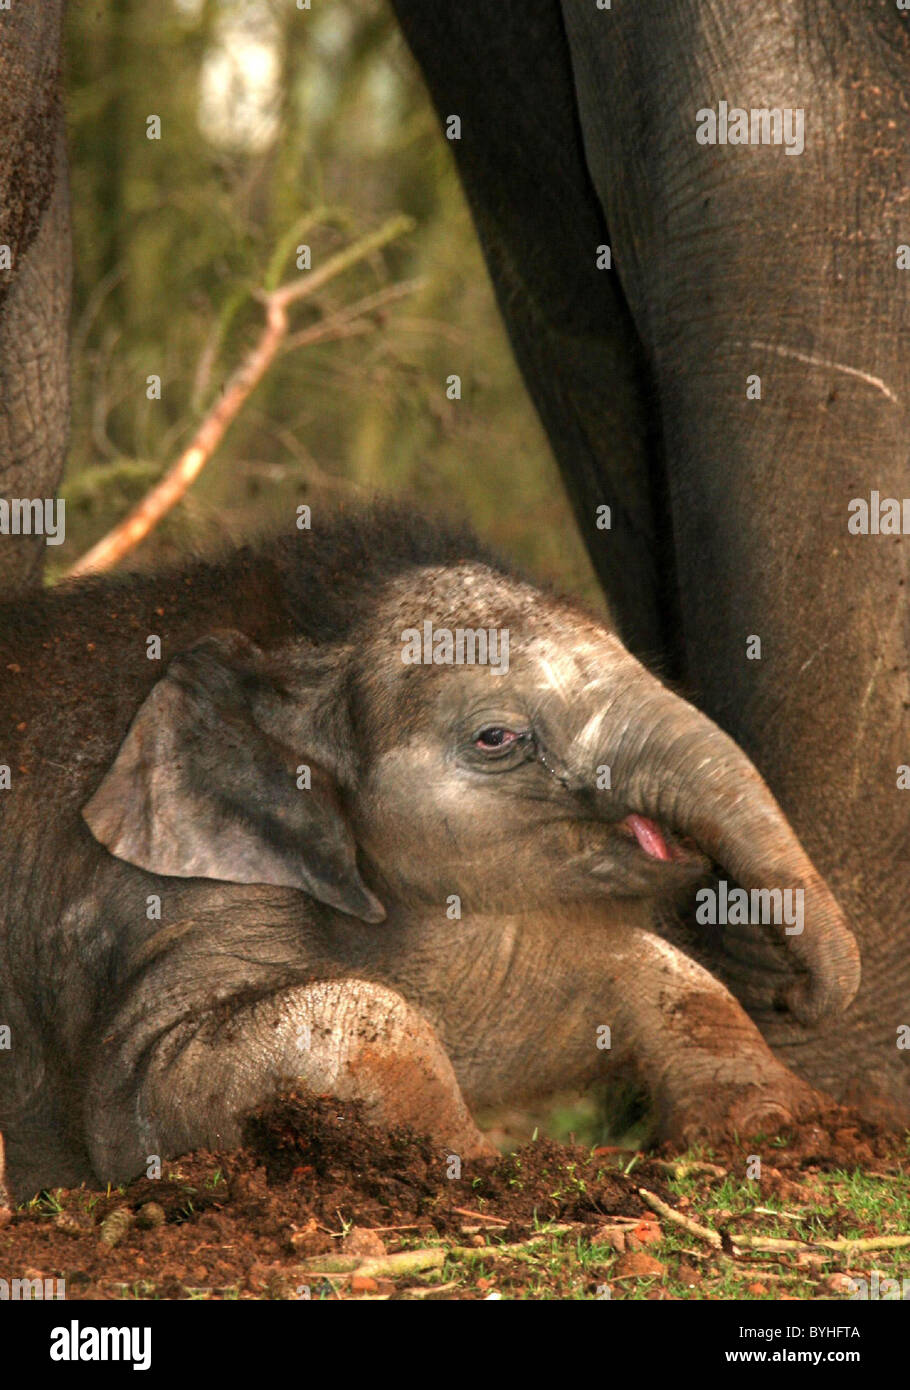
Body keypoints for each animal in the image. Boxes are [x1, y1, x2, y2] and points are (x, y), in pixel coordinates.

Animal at [0, 508, 859, 1197]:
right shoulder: (169, 898)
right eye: (496, 737)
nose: (795, 996)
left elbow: (594, 974)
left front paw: (780, 1124)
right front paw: (471, 1166)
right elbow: (132, 1102)